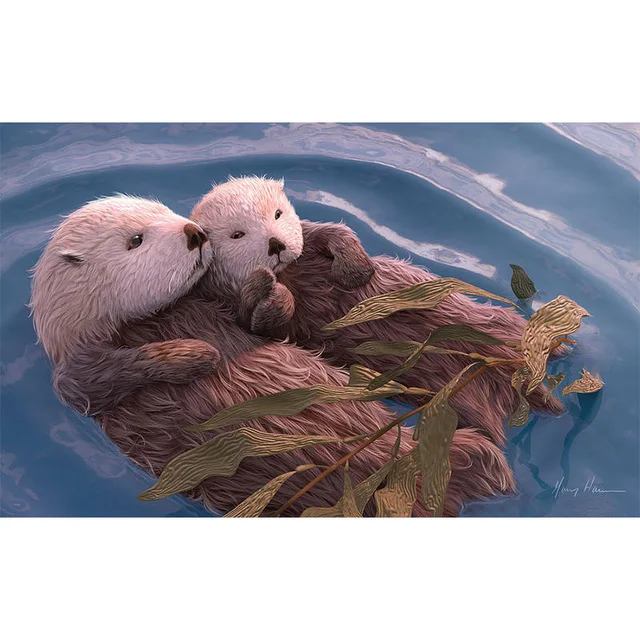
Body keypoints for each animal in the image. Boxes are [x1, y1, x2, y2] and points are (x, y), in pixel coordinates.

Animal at [31, 196, 515, 517]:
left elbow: (266, 320)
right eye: (136, 239)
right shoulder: (78, 372)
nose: (193, 233)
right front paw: (197, 353)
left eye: (166, 212)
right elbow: (99, 378)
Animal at [191, 176, 567, 447]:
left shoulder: (311, 235)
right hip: (467, 400)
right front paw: (271, 291)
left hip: (505, 323)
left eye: (277, 214)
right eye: (237, 235)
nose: (275, 244)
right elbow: (261, 323)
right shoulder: (232, 305)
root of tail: (514, 370)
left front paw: (356, 269)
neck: (291, 273)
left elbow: (335, 232)